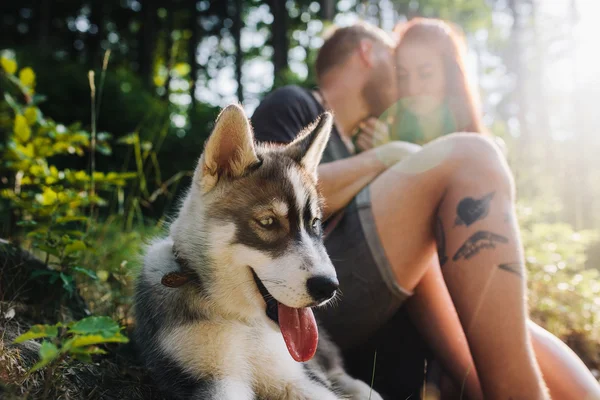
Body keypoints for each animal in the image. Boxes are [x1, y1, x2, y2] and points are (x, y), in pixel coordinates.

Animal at [134, 104, 382, 398]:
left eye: (314, 223)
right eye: (268, 222)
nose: (328, 287)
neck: (244, 322)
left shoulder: (296, 377)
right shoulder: (213, 378)